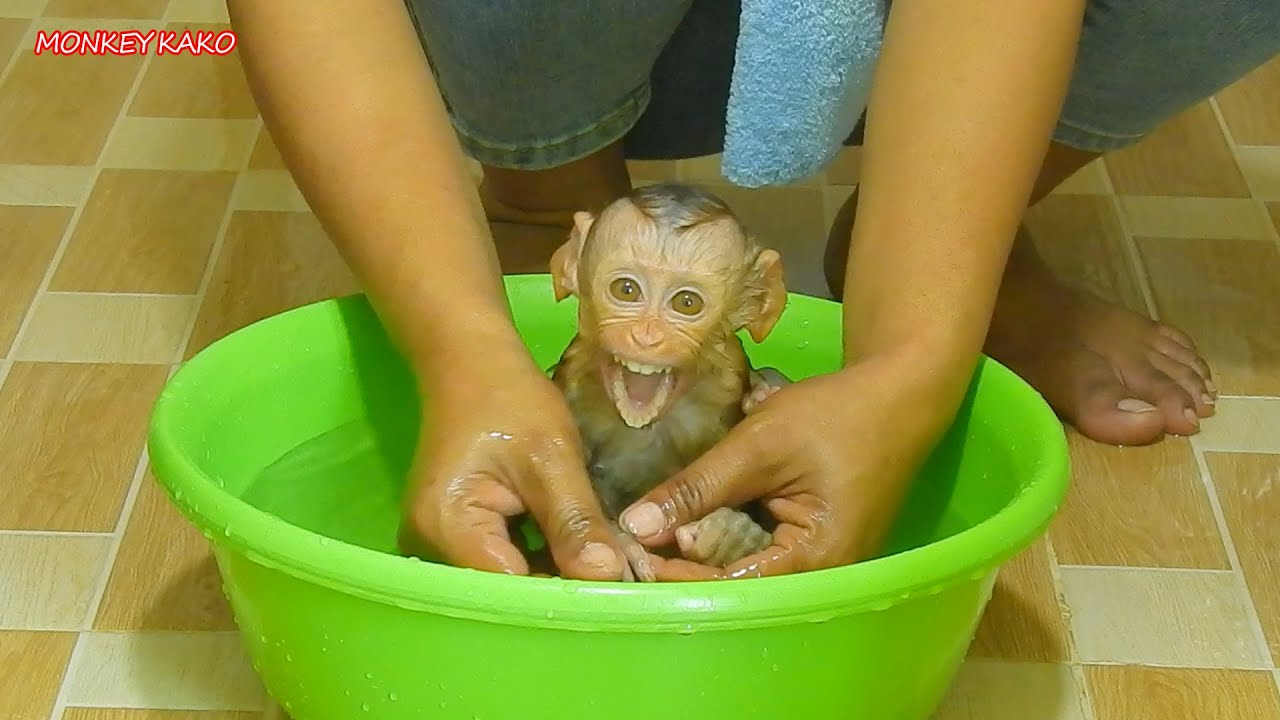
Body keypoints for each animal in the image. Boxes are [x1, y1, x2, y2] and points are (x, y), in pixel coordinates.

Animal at [542, 182, 793, 582]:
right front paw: (621, 545)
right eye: (627, 290)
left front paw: (732, 538)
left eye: (686, 303)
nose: (647, 337)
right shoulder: (572, 387)